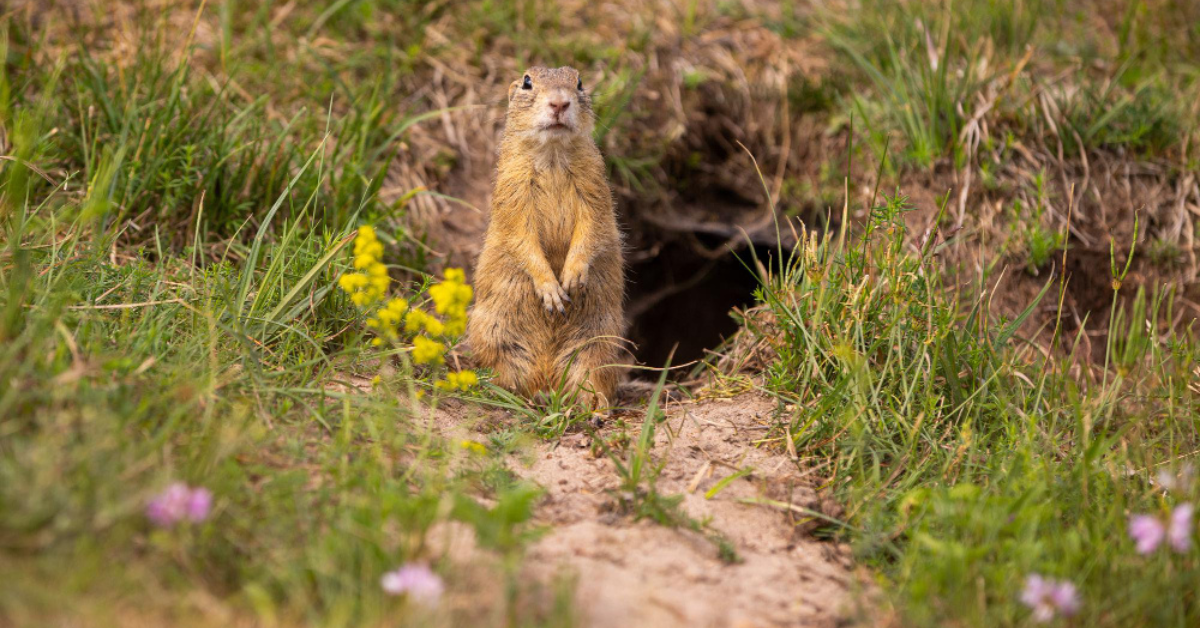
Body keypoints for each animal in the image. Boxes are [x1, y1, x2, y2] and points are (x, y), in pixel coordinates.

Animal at [463, 65, 624, 408]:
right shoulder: (513, 190)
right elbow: (520, 237)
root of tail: (549, 372)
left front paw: (572, 277)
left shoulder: (595, 187)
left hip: (598, 342)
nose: (560, 103)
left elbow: (593, 226)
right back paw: (523, 396)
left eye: (579, 82)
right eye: (527, 82)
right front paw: (552, 290)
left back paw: (591, 406)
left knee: (591, 375)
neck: (552, 153)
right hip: (496, 336)